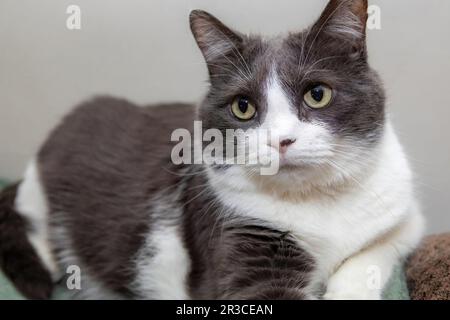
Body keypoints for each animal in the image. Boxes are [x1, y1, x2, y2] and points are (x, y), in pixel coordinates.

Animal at [0, 0, 424, 300]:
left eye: (317, 94)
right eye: (243, 107)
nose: (280, 140)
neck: (318, 200)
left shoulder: (404, 216)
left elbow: (375, 251)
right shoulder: (240, 235)